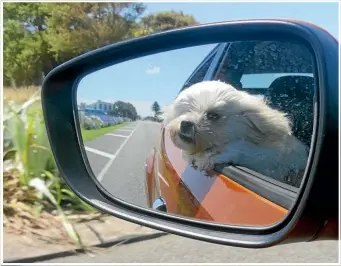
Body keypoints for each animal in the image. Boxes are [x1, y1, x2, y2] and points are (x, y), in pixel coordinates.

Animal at [163, 80, 310, 186]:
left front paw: (209, 156)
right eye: (186, 110)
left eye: (213, 115)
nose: (185, 123)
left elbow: (241, 149)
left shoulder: (269, 162)